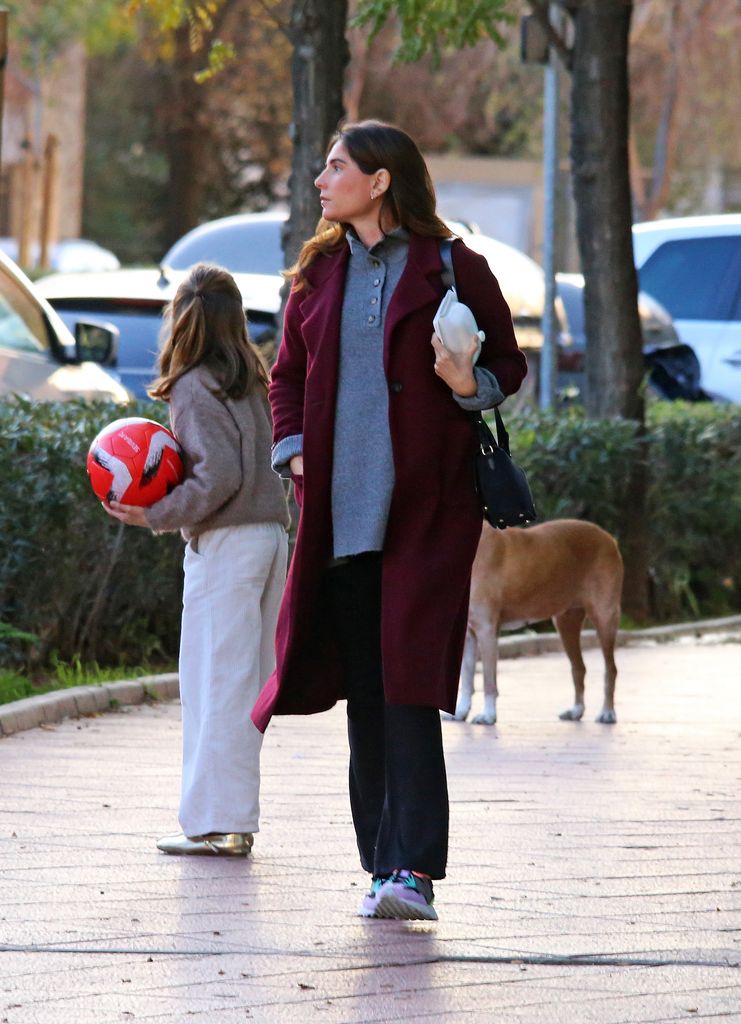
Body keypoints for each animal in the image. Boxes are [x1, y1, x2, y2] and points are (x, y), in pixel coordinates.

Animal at [448, 520, 622, 729]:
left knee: (611, 669)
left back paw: (608, 713)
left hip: (605, 617)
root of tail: (608, 537)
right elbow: (466, 679)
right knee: (579, 668)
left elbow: (488, 681)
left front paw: (488, 715)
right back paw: (576, 711)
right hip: (565, 622)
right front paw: (460, 711)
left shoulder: (486, 629)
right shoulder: (468, 634)